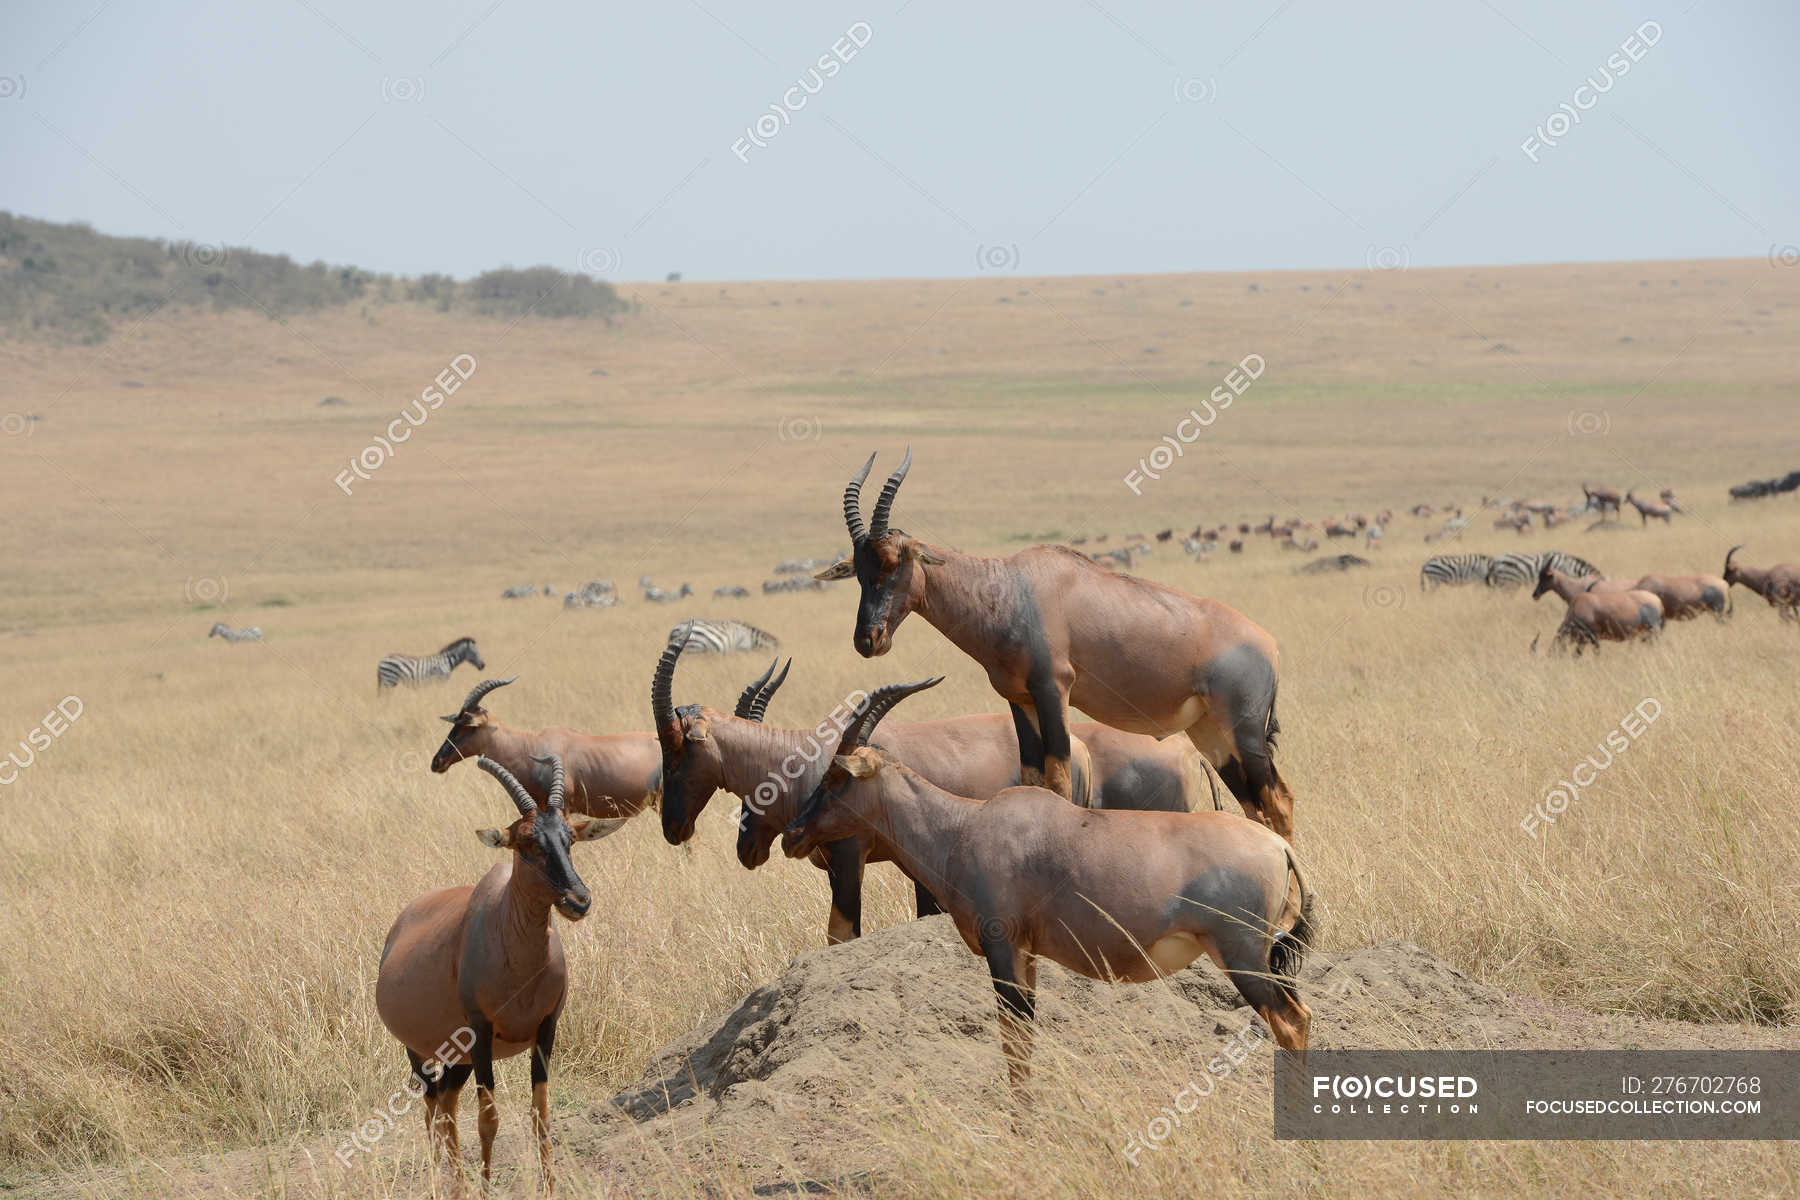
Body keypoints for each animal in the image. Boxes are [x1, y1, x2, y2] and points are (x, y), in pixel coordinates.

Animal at [376, 759, 630, 1194]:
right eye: (526, 843)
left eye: (569, 838)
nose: (579, 900)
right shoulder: (479, 1032)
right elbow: (488, 1121)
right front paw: (485, 1189)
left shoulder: (546, 1027)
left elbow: (541, 1115)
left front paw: (548, 1189)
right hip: (421, 1051)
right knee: (432, 1108)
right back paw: (443, 1185)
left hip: (458, 1058)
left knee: (446, 1104)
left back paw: (458, 1186)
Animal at [781, 676, 1317, 1101]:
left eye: (836, 776)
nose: (792, 835)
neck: (966, 825)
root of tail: (1277, 846)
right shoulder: (1028, 953)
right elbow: (1024, 1038)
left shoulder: (1002, 947)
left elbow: (1013, 1038)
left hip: (1242, 955)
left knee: (1291, 1021)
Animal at [817, 453, 1296, 845]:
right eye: (859, 569)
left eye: (895, 562)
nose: (868, 639)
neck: (1013, 590)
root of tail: (1270, 646)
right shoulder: (1019, 699)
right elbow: (1033, 777)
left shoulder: (1054, 690)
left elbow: (1061, 779)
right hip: (1210, 734)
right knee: (1255, 805)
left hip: (1244, 730)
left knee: (1279, 801)